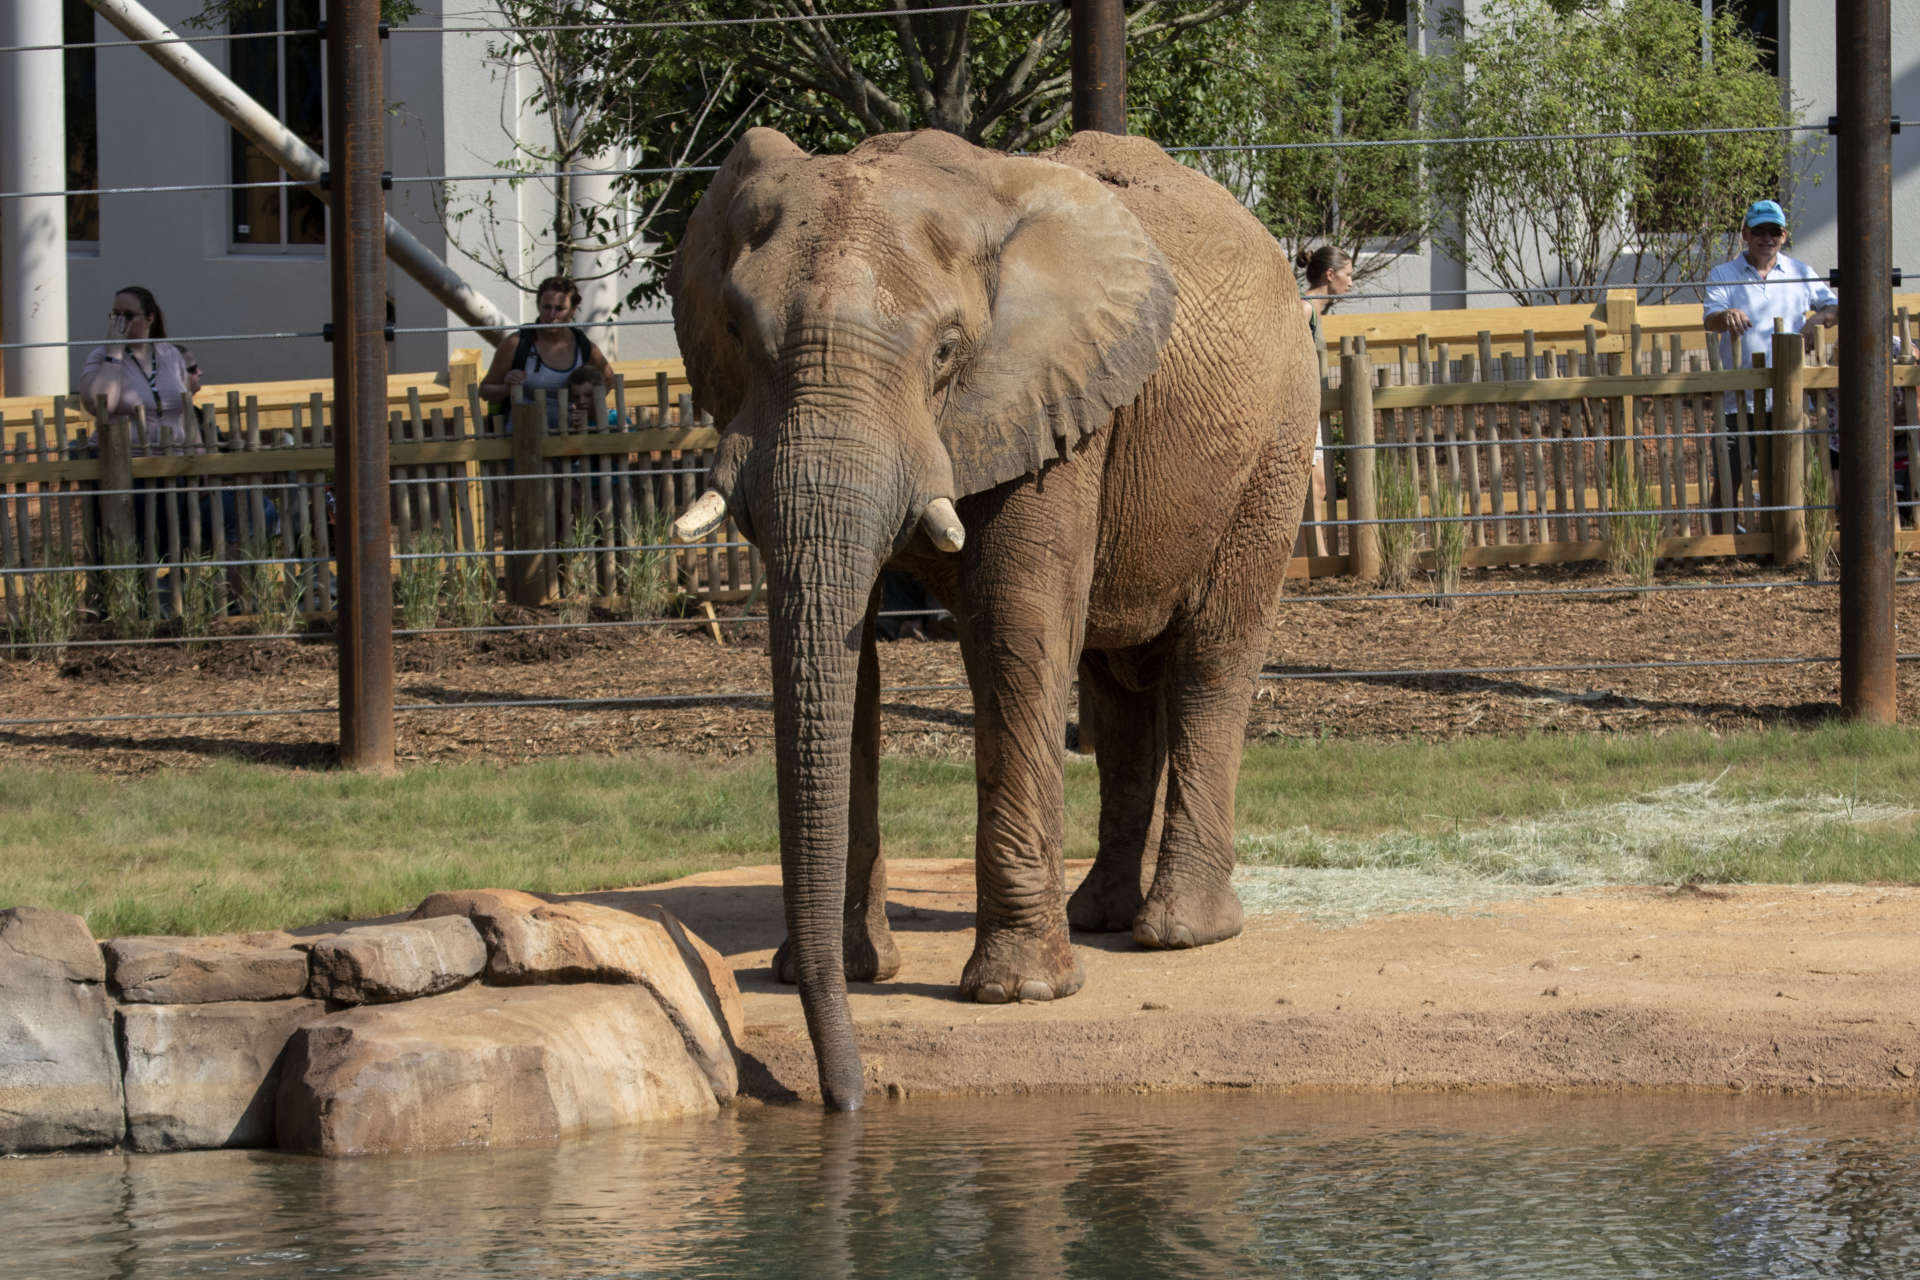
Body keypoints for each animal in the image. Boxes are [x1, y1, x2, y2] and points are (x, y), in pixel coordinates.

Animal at [672, 130, 1320, 1113]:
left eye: (947, 351)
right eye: (740, 335)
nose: (846, 1101)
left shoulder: (1055, 406)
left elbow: (1018, 634)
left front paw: (1020, 993)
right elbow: (848, 659)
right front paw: (846, 972)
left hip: (1273, 445)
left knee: (1210, 660)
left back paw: (1177, 933)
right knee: (1116, 687)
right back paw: (1099, 915)